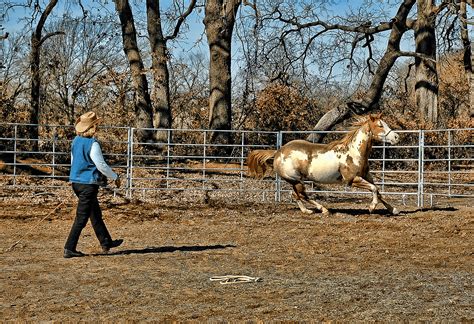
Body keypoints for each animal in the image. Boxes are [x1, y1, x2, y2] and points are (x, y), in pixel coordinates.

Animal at [248, 114, 400, 215]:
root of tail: (279, 151)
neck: (354, 152)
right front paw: (371, 207)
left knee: (296, 195)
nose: (396, 137)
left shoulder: (366, 176)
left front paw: (394, 209)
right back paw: (323, 209)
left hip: (295, 181)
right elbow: (374, 189)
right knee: (302, 195)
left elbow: (378, 191)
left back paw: (307, 211)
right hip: (295, 179)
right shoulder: (352, 180)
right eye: (380, 125)